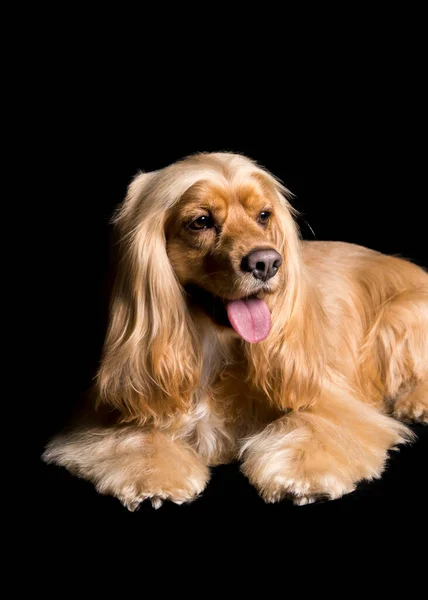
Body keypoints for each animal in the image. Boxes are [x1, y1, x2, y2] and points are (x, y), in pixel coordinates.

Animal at [43, 152, 428, 508]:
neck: (212, 346)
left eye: (264, 216)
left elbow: (314, 424)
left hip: (399, 313)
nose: (267, 263)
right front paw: (153, 475)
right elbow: (138, 435)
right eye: (201, 221)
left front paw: (302, 474)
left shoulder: (332, 398)